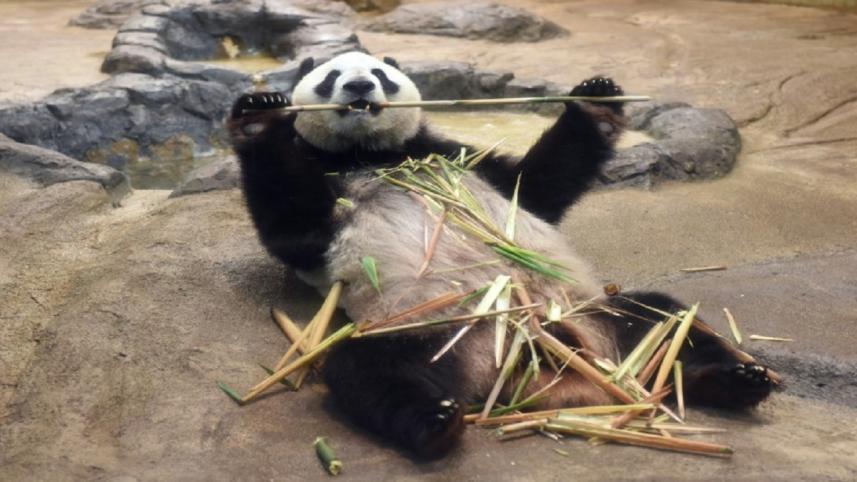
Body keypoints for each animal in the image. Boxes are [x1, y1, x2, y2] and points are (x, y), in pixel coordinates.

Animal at [228, 51, 774, 459]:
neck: (370, 153)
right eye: (330, 77)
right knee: (370, 369)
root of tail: (534, 361)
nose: (360, 87)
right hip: (438, 330)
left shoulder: (456, 155)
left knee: (664, 319)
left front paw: (595, 100)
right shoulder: (324, 193)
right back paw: (435, 422)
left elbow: (534, 187)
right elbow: (293, 227)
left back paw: (735, 379)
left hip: (590, 314)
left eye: (380, 74)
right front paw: (259, 116)